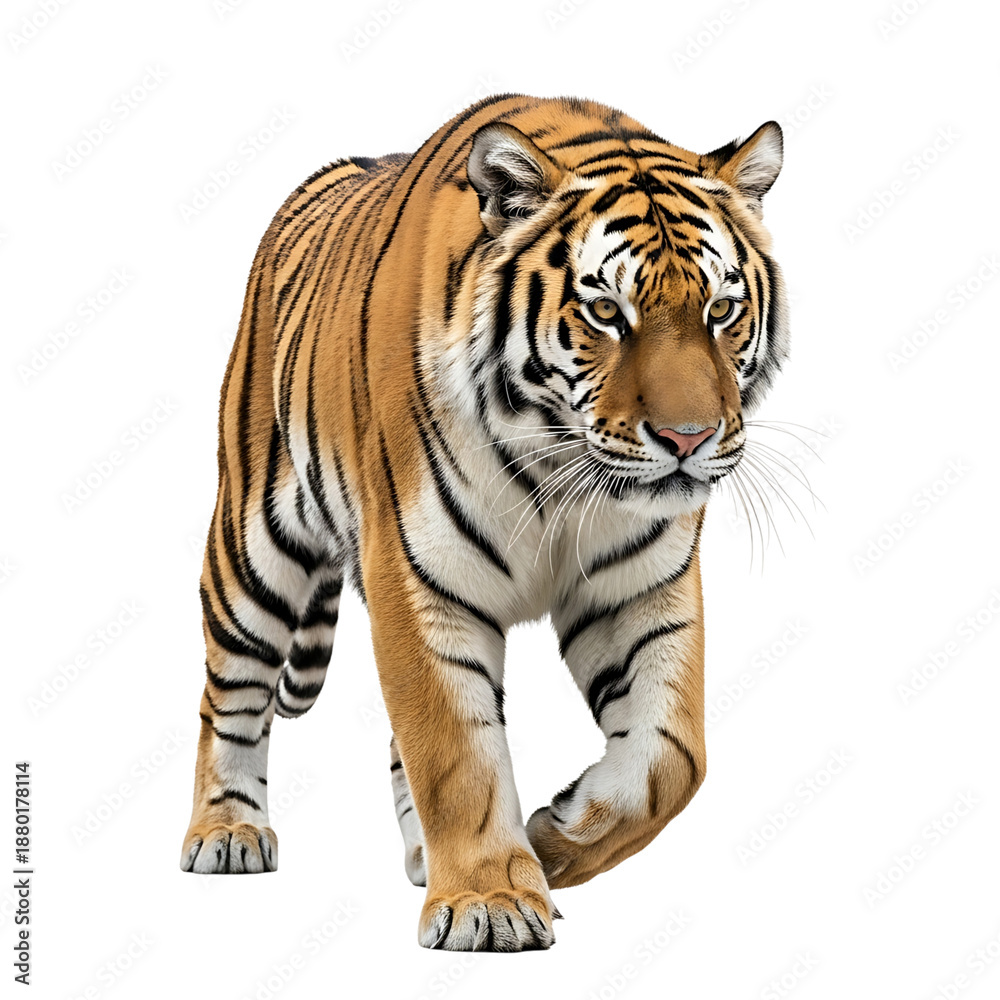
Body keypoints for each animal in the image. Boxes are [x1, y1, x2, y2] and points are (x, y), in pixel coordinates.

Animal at [179, 93, 788, 952]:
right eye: (607, 312)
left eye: (722, 310)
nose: (688, 440)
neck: (561, 470)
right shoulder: (418, 578)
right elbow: (456, 750)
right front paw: (490, 901)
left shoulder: (640, 590)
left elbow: (673, 756)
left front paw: (554, 839)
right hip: (250, 548)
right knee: (229, 691)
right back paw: (226, 831)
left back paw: (421, 856)